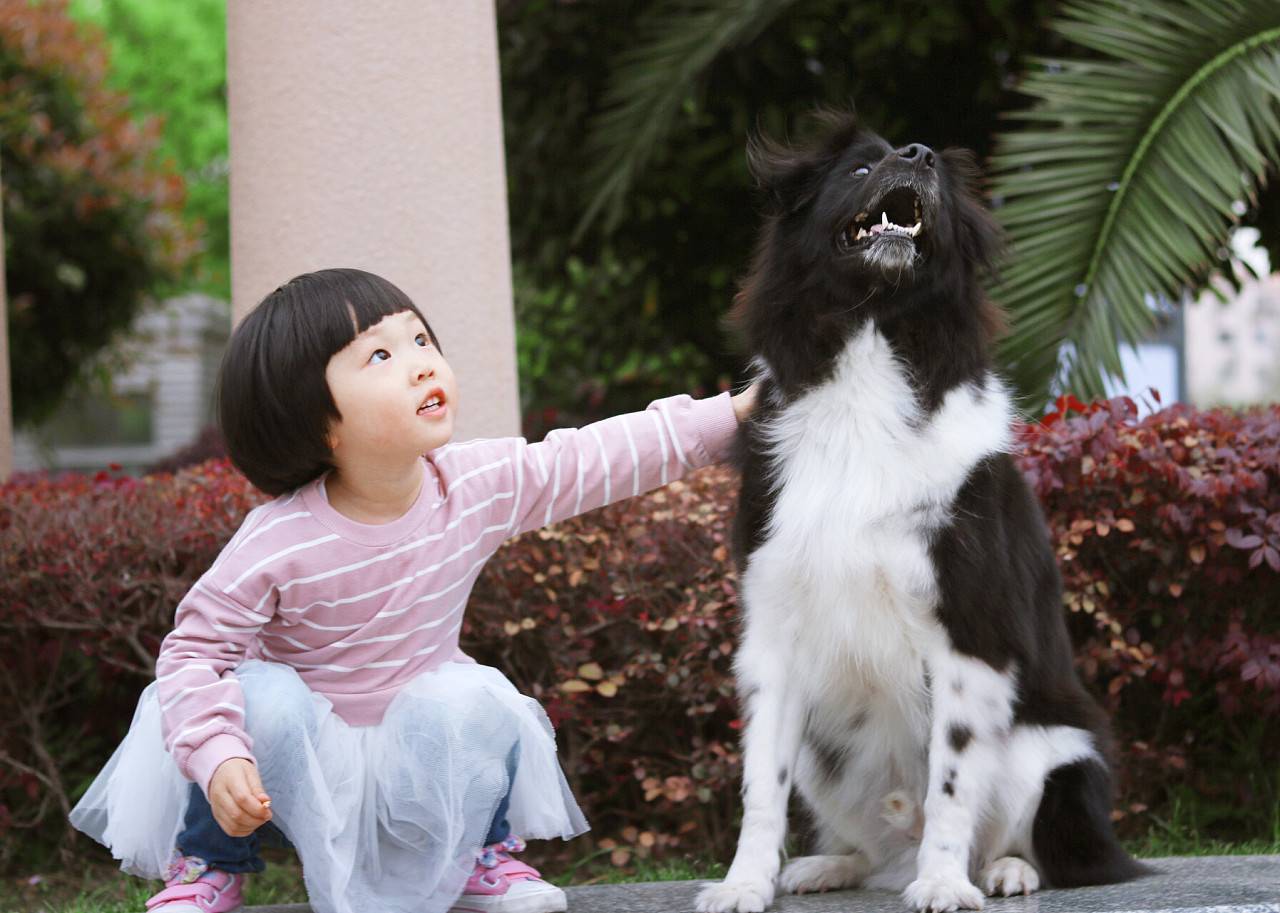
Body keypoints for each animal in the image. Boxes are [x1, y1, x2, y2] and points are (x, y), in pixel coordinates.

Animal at [701, 112, 1152, 911]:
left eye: (933, 168)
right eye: (859, 168)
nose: (919, 155)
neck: (872, 338)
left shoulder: (970, 634)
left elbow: (950, 781)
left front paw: (943, 884)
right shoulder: (774, 635)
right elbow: (761, 786)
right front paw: (744, 885)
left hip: (1054, 746)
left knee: (1025, 834)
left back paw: (1002, 873)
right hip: (826, 752)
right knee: (864, 842)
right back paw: (831, 865)